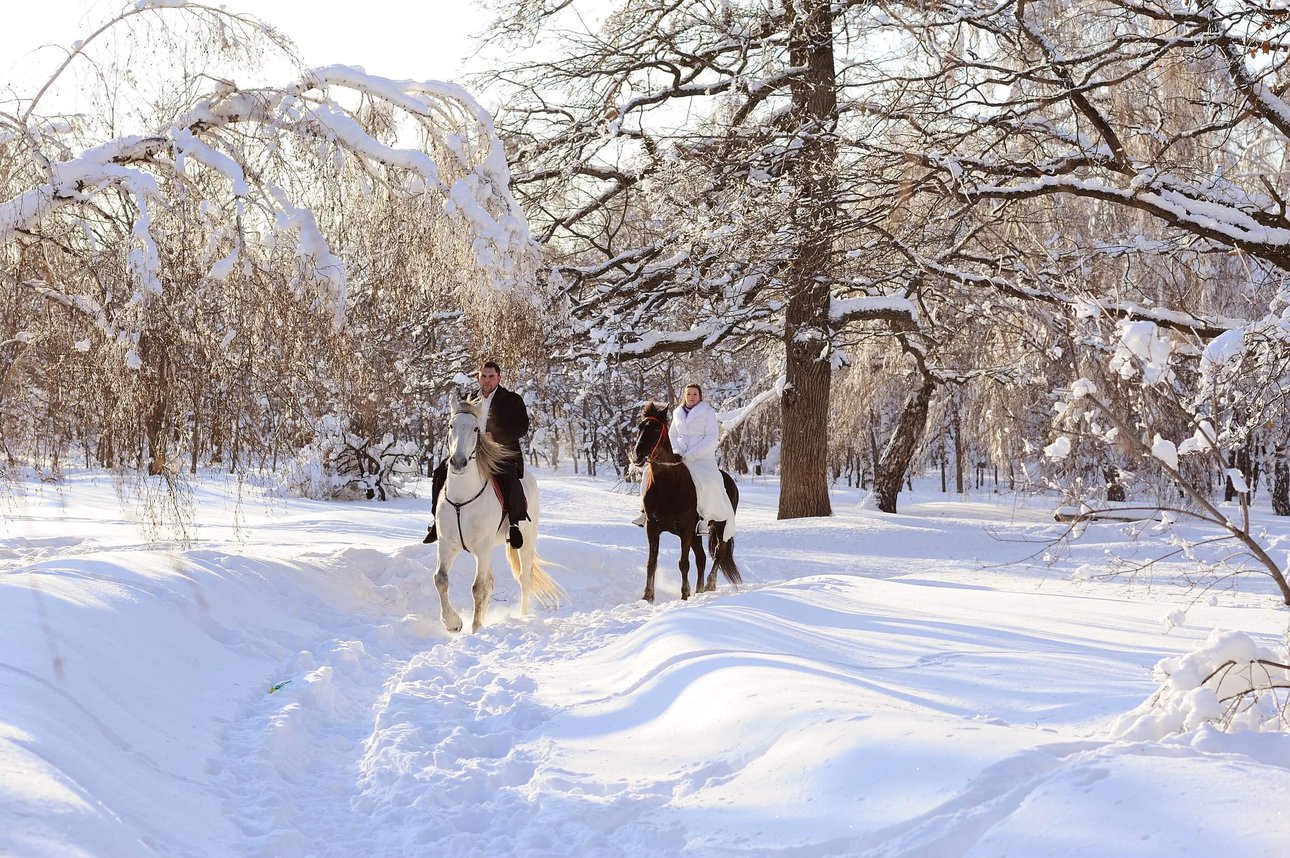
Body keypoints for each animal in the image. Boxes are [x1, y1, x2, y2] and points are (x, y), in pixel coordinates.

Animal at [433, 392, 559, 629]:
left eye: (476, 429)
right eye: (451, 425)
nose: (458, 462)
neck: (462, 500)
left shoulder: (483, 546)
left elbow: (478, 588)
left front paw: (475, 630)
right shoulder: (447, 543)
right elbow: (441, 579)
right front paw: (453, 623)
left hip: (525, 542)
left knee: (524, 579)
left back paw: (523, 616)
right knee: (491, 581)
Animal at [629, 402, 743, 598]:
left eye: (656, 428)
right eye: (640, 427)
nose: (638, 455)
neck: (667, 485)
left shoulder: (685, 530)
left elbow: (683, 563)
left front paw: (684, 595)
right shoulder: (653, 527)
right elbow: (652, 562)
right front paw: (647, 597)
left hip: (721, 526)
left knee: (719, 553)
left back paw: (709, 584)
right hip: (696, 534)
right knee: (702, 558)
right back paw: (699, 590)